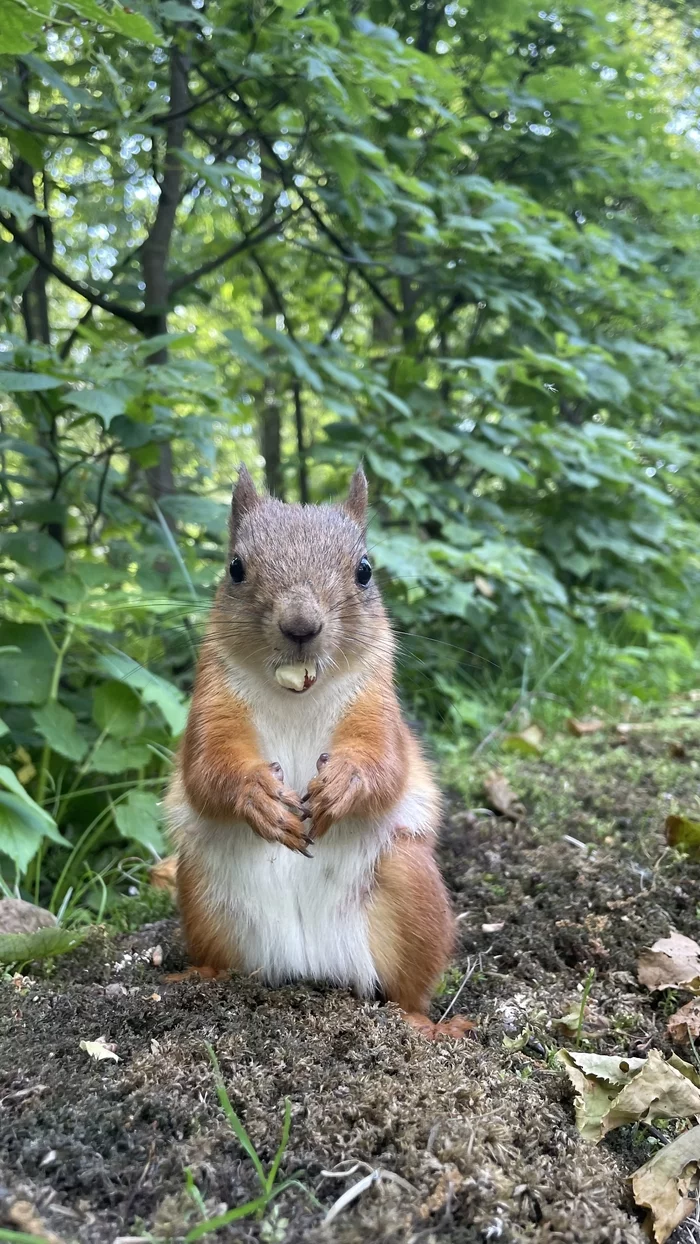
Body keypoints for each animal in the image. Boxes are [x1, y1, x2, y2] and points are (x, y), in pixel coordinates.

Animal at [165, 467, 474, 1039]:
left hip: (410, 889)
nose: (301, 626)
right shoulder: (211, 705)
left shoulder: (379, 707)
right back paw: (196, 978)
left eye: (365, 570)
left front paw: (344, 783)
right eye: (235, 568)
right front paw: (257, 795)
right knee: (219, 957)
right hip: (202, 890)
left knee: (408, 991)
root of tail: (311, 963)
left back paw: (425, 1024)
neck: (296, 693)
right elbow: (206, 769)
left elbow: (386, 763)